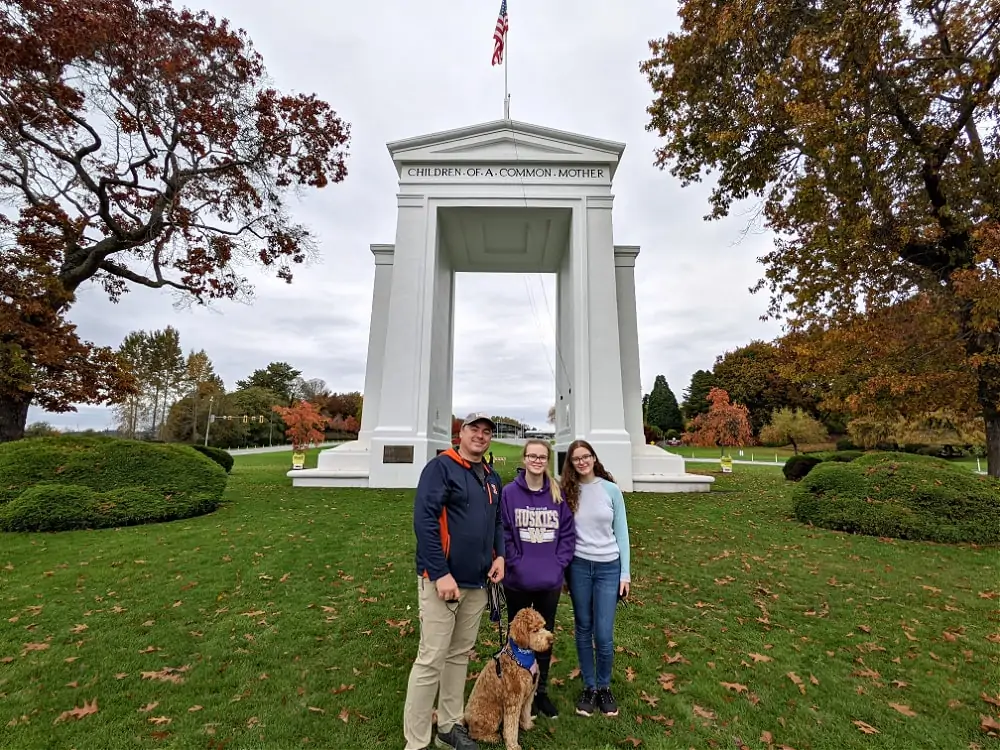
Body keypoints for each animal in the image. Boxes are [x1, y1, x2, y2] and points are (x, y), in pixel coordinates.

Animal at [462, 608, 552, 750]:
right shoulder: (513, 700)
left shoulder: (528, 696)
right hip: (493, 713)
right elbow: (511, 727)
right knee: (474, 734)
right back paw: (492, 737)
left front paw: (527, 726)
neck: (520, 657)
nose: (551, 639)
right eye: (535, 630)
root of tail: (466, 718)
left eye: (543, 626)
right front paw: (513, 745)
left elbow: (526, 713)